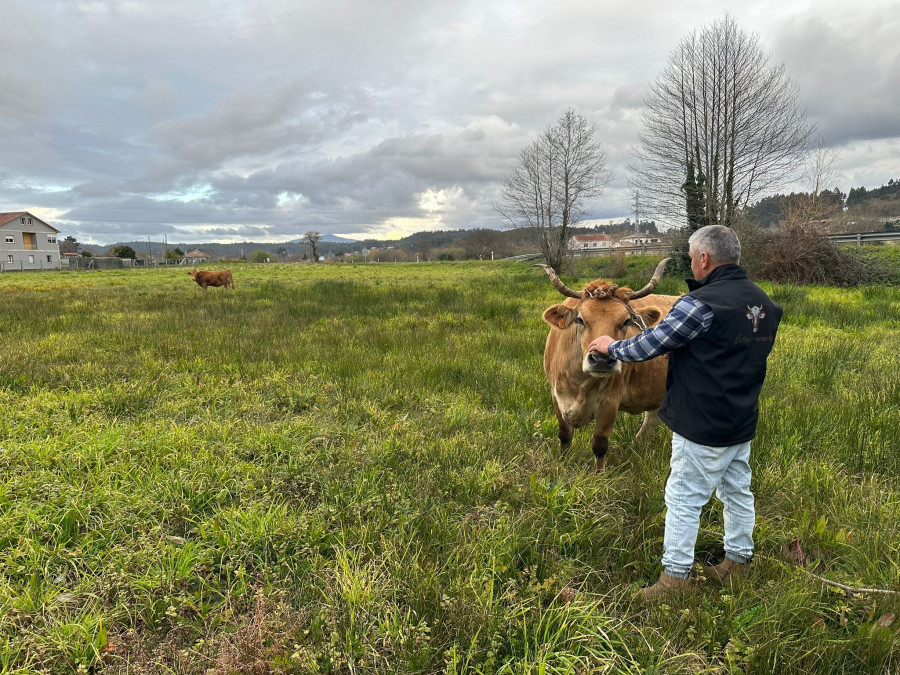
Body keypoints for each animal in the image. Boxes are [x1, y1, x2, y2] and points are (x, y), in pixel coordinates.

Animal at [536, 258, 676, 470]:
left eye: (626, 321)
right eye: (580, 319)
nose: (602, 358)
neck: (579, 384)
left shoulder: (610, 403)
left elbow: (599, 444)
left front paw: (598, 474)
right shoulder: (555, 395)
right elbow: (564, 435)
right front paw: (562, 463)